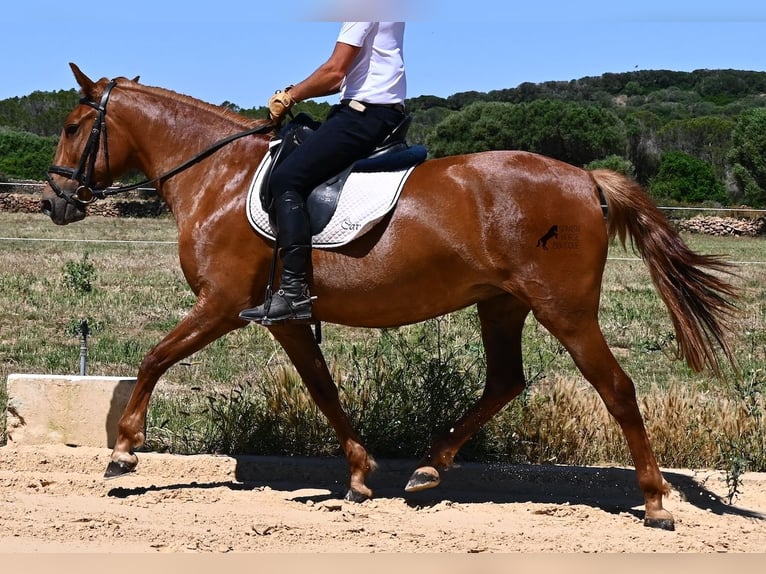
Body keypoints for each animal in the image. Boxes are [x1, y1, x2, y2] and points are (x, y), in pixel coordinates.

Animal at [42, 63, 738, 531]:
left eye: (74, 126)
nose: (55, 202)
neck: (219, 177)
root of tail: (585, 178)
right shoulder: (284, 318)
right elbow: (322, 389)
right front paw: (358, 475)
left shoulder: (220, 305)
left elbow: (154, 358)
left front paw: (123, 452)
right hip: (501, 302)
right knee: (505, 382)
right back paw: (428, 469)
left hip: (562, 309)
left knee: (615, 388)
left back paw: (654, 502)